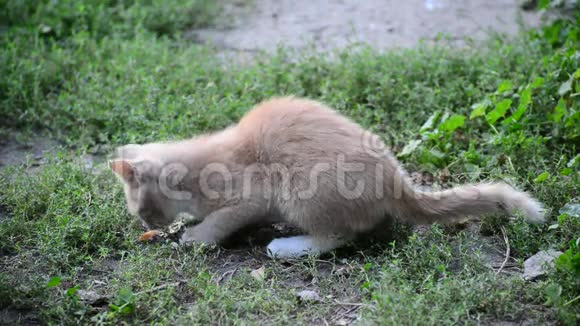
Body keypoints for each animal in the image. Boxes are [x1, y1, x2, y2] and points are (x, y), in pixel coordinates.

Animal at [107, 96, 544, 258]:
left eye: (141, 208)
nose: (145, 224)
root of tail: (396, 179)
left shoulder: (251, 195)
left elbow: (220, 219)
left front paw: (196, 236)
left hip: (300, 193)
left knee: (339, 235)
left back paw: (287, 246)